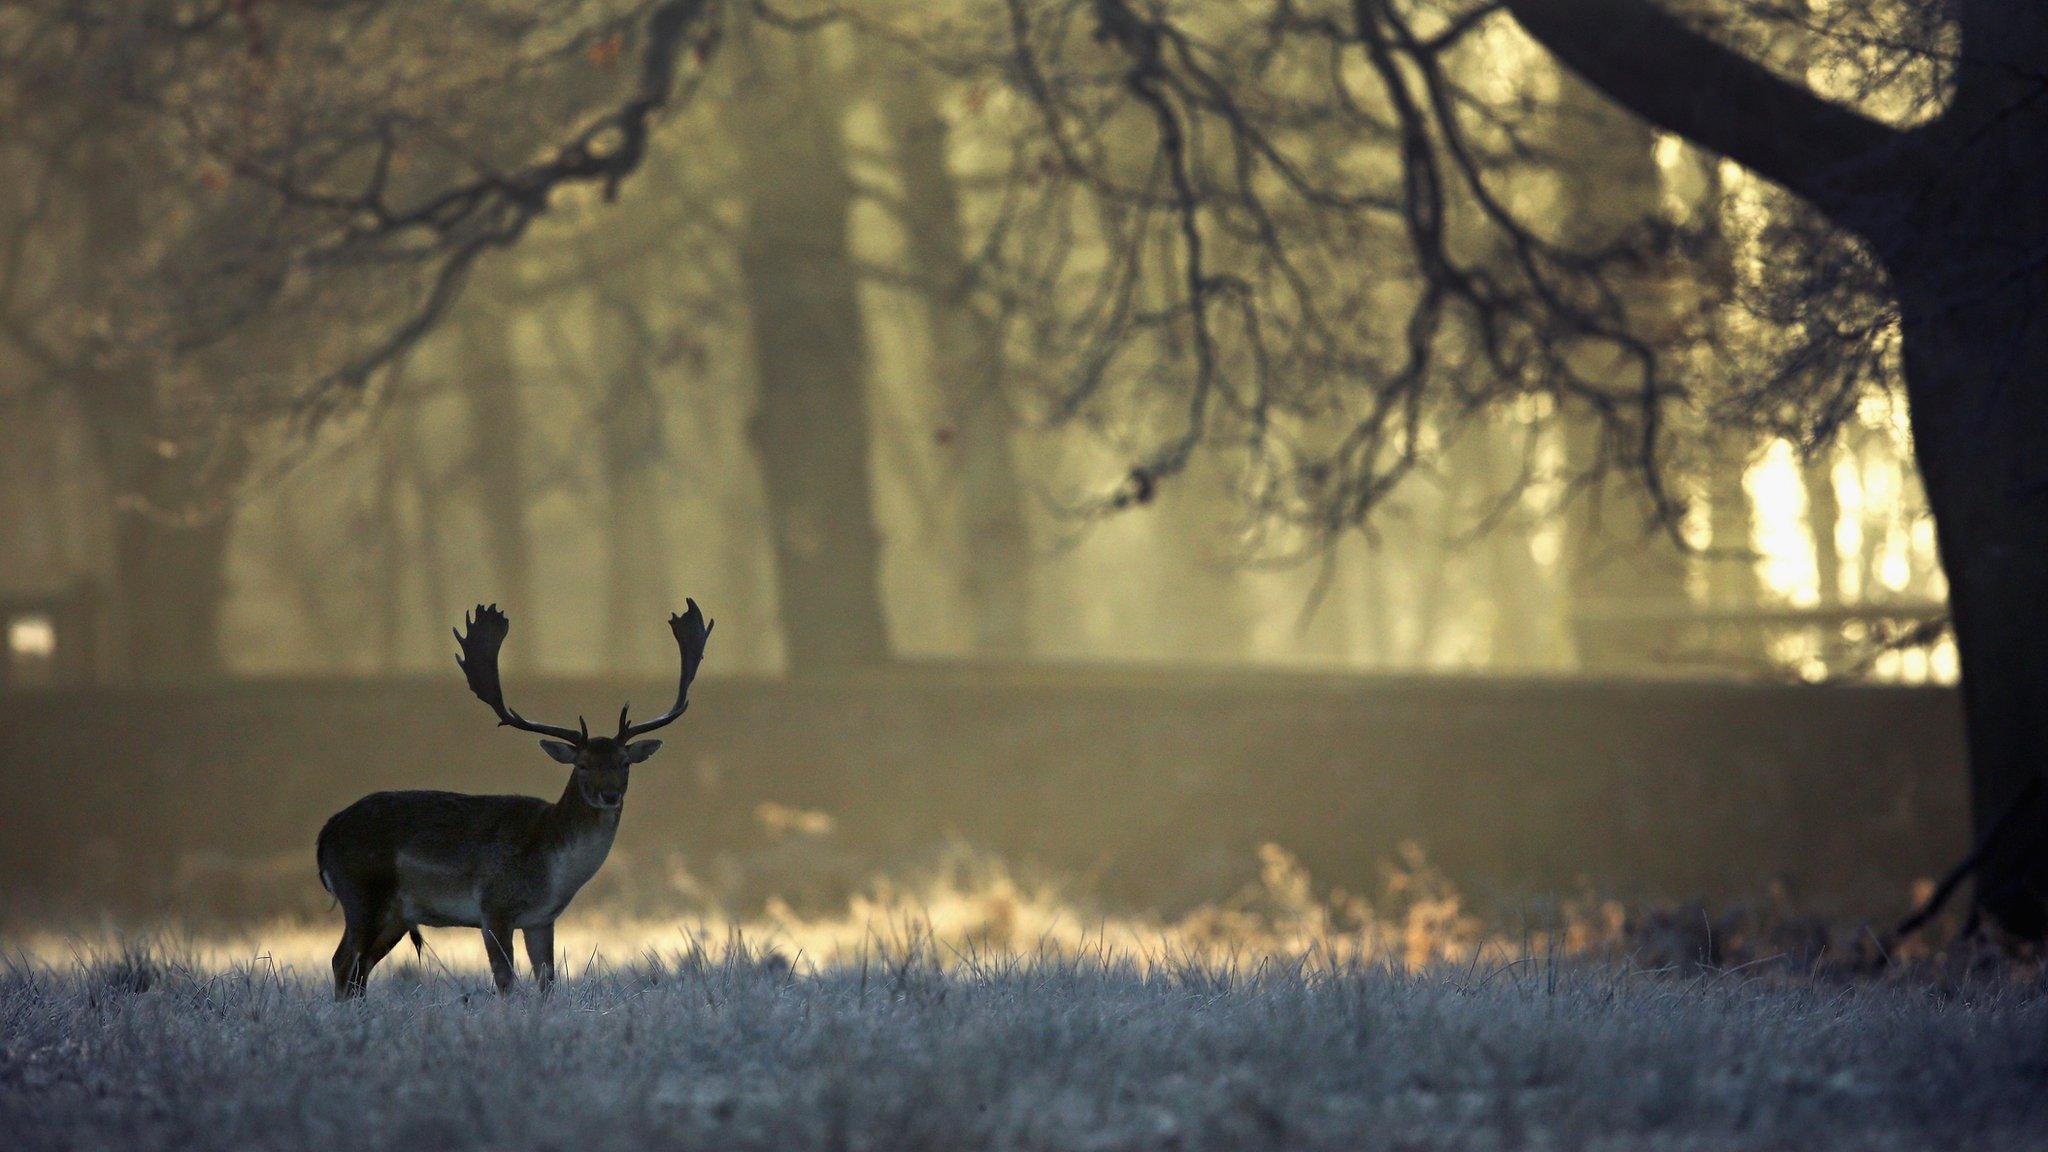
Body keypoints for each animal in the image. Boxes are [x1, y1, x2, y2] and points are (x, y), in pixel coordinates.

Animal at [313, 602, 712, 996]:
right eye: (582, 764)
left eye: (624, 762)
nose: (610, 794)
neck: (552, 870)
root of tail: (325, 834)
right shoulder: (494, 907)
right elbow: (505, 981)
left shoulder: (541, 919)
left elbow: (548, 981)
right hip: (363, 893)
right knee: (342, 961)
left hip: (395, 914)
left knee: (360, 969)